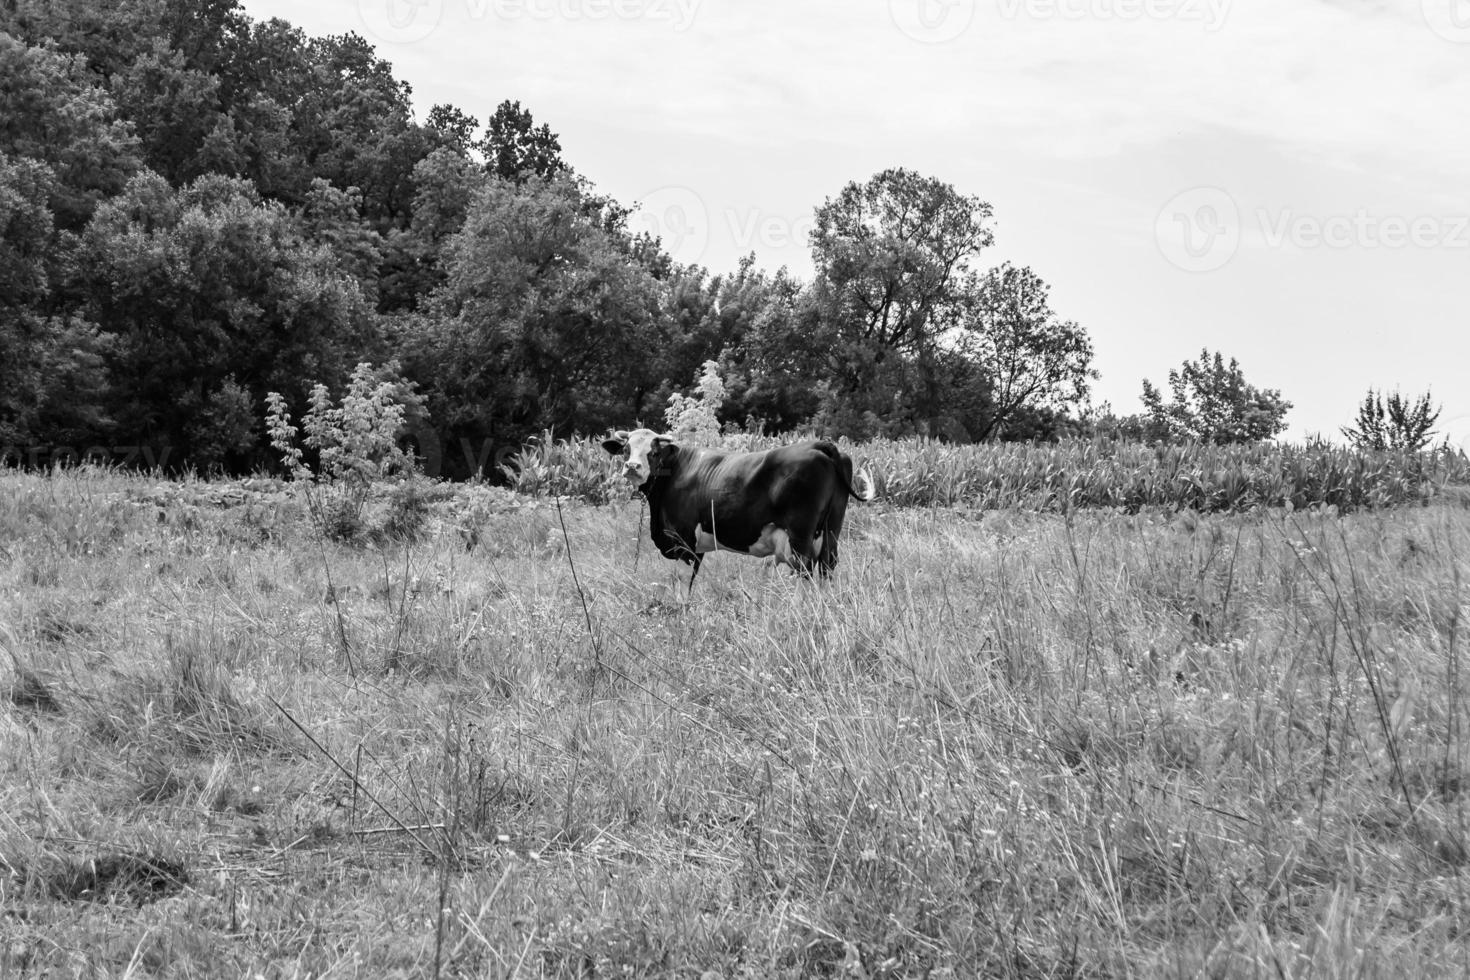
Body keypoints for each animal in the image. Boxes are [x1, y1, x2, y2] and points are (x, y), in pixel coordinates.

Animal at [599, 431, 870, 590]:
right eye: (626, 449)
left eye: (653, 452)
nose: (631, 467)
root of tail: (818, 443)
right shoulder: (696, 547)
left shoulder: (684, 542)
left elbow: (682, 582)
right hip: (831, 530)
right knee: (826, 568)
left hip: (800, 536)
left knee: (805, 572)